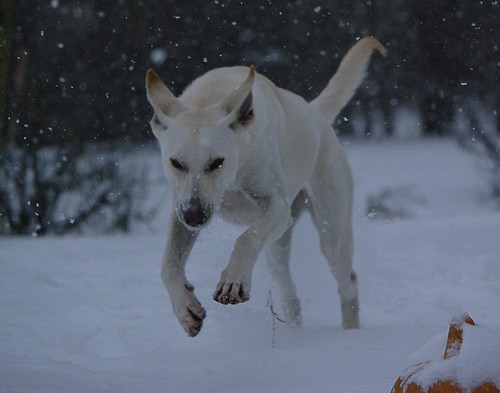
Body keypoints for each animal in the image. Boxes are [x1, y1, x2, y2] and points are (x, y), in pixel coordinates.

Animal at [146, 38, 386, 336]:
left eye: (217, 162)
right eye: (176, 163)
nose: (195, 217)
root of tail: (315, 113)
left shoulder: (276, 207)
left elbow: (246, 237)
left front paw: (234, 279)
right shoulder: (182, 207)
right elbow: (169, 263)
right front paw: (186, 309)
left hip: (331, 229)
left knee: (348, 282)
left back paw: (351, 333)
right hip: (277, 247)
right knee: (289, 293)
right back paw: (294, 331)